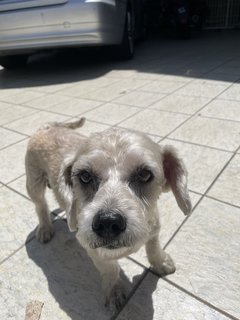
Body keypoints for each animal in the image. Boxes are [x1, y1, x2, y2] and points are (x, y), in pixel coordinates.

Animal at [25, 117, 192, 310]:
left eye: (144, 174)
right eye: (85, 176)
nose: (107, 222)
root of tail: (46, 128)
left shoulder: (154, 228)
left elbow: (153, 247)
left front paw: (161, 262)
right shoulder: (93, 249)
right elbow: (110, 269)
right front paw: (114, 292)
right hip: (34, 183)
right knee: (40, 206)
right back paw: (45, 227)